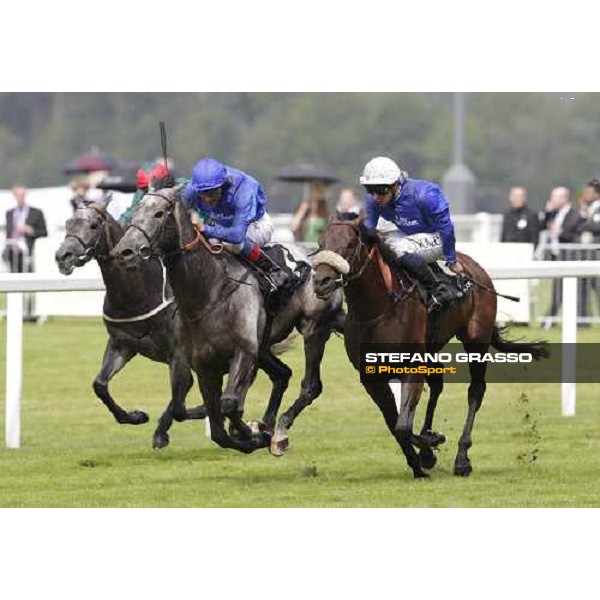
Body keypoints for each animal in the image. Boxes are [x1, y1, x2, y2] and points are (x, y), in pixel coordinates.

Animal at [56, 202, 206, 450]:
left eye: (93, 225)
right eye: (68, 223)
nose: (63, 256)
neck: (139, 293)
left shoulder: (177, 352)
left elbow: (180, 398)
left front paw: (163, 431)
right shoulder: (122, 345)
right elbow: (100, 384)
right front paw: (135, 416)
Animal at [113, 188, 346, 454]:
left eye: (159, 213)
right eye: (135, 211)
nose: (125, 251)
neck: (209, 294)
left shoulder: (243, 352)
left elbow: (228, 404)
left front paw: (253, 434)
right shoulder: (204, 365)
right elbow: (215, 428)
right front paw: (251, 434)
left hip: (314, 328)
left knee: (310, 385)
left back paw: (277, 432)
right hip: (263, 348)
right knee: (282, 374)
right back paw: (266, 423)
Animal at [310, 216, 548, 478]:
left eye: (351, 244)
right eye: (321, 243)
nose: (321, 282)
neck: (376, 310)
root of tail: (474, 268)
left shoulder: (411, 366)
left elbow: (403, 426)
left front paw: (431, 446)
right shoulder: (370, 376)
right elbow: (394, 424)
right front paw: (420, 460)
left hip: (476, 339)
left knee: (476, 390)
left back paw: (462, 458)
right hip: (432, 347)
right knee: (438, 382)